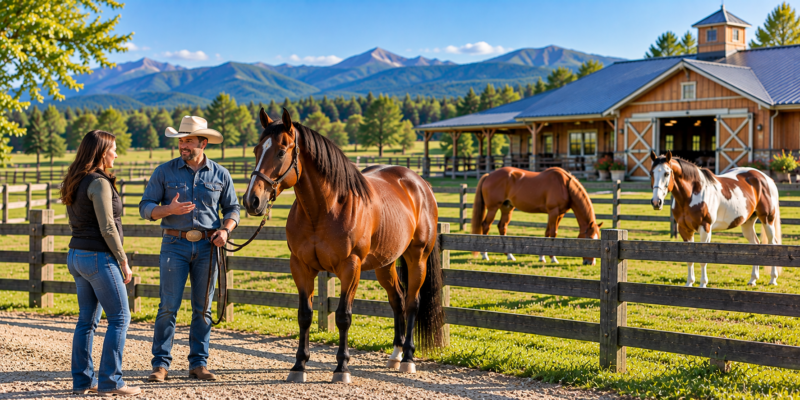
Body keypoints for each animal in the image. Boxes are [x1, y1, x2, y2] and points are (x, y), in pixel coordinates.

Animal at [242, 108, 445, 384]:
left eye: (281, 151)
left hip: (418, 258)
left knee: (412, 302)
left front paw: (342, 368)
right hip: (386, 264)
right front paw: (299, 365)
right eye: (256, 150)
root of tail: (420, 184)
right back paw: (396, 355)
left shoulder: (350, 268)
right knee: (398, 300)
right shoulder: (301, 267)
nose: (252, 200)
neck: (324, 209)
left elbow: (343, 316)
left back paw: (408, 359)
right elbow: (304, 315)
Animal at [470, 167, 602, 265]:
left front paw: (542, 257)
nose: (590, 262)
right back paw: (484, 254)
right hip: (493, 208)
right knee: (486, 225)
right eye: (590, 239)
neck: (565, 186)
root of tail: (489, 175)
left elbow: (547, 233)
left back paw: (509, 255)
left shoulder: (559, 214)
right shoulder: (553, 212)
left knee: (502, 227)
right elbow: (553, 233)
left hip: (506, 208)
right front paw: (553, 258)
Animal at [649, 151, 782, 287]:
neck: (692, 194)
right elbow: (689, 259)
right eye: (651, 173)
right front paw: (689, 284)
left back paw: (773, 279)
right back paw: (753, 280)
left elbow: (703, 259)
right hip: (747, 223)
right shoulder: (685, 230)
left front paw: (703, 284)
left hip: (767, 219)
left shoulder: (705, 229)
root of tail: (766, 178)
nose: (656, 202)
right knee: (755, 244)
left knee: (773, 244)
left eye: (666, 173)